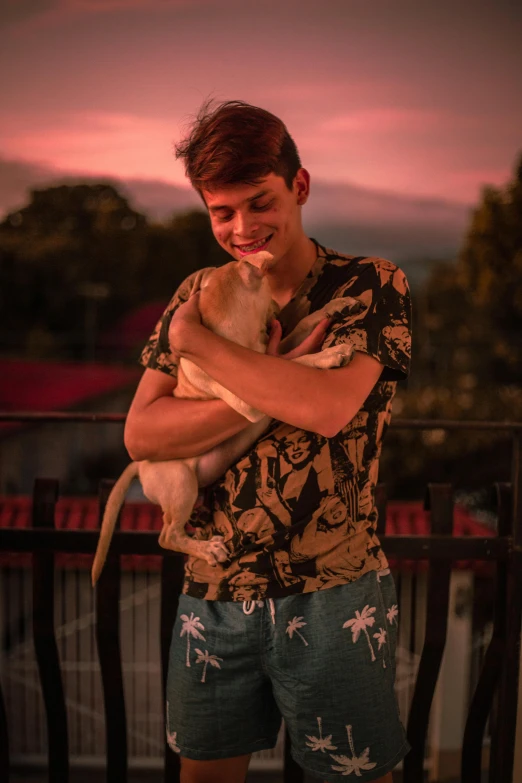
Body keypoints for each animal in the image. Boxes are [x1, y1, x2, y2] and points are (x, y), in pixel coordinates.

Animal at [90, 250, 358, 580]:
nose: (281, 311)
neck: (237, 338)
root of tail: (138, 466)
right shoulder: (255, 390)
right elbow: (299, 360)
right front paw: (329, 355)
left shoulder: (270, 356)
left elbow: (299, 334)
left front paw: (334, 306)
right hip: (180, 483)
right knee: (167, 535)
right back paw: (208, 550)